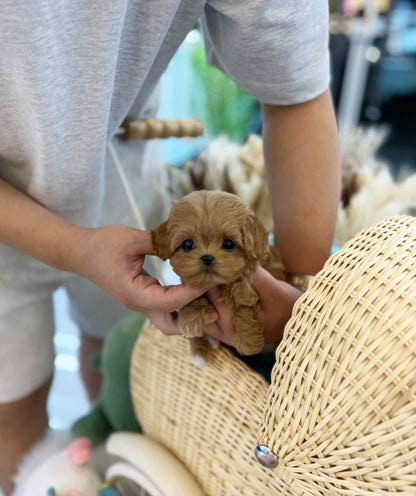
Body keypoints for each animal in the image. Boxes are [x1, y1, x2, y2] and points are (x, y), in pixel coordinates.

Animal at [151, 189, 274, 364]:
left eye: (228, 244)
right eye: (187, 244)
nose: (207, 257)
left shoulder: (251, 290)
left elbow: (244, 306)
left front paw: (247, 341)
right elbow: (194, 300)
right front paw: (192, 318)